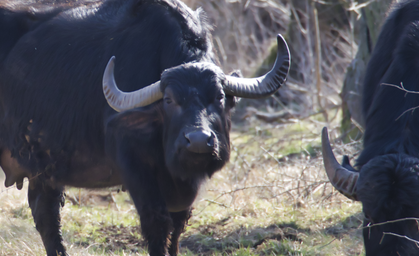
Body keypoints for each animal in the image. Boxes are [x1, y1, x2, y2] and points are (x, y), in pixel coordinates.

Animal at [0, 0, 290, 256]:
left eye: (219, 97)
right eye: (169, 100)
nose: (198, 141)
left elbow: (177, 225)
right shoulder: (134, 167)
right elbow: (157, 223)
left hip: (44, 167)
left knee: (46, 214)